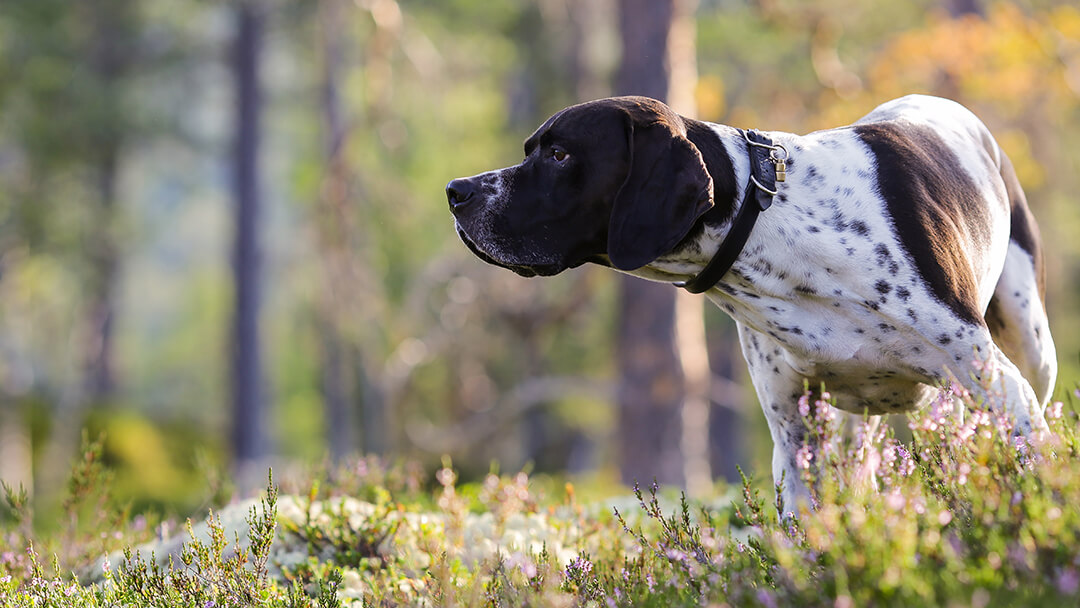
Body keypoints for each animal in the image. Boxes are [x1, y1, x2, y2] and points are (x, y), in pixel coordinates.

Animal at [444, 96, 1054, 514]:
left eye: (559, 153)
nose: (456, 191)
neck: (768, 220)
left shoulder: (1004, 393)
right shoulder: (795, 436)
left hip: (1031, 352)